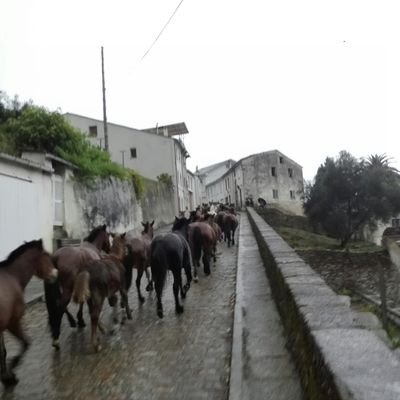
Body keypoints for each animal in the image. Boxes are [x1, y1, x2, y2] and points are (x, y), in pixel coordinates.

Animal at [0, 239, 57, 386]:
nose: (56, 274)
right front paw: (10, 375)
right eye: (46, 256)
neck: (12, 276)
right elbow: (25, 344)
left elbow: (4, 351)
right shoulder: (13, 323)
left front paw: (6, 375)